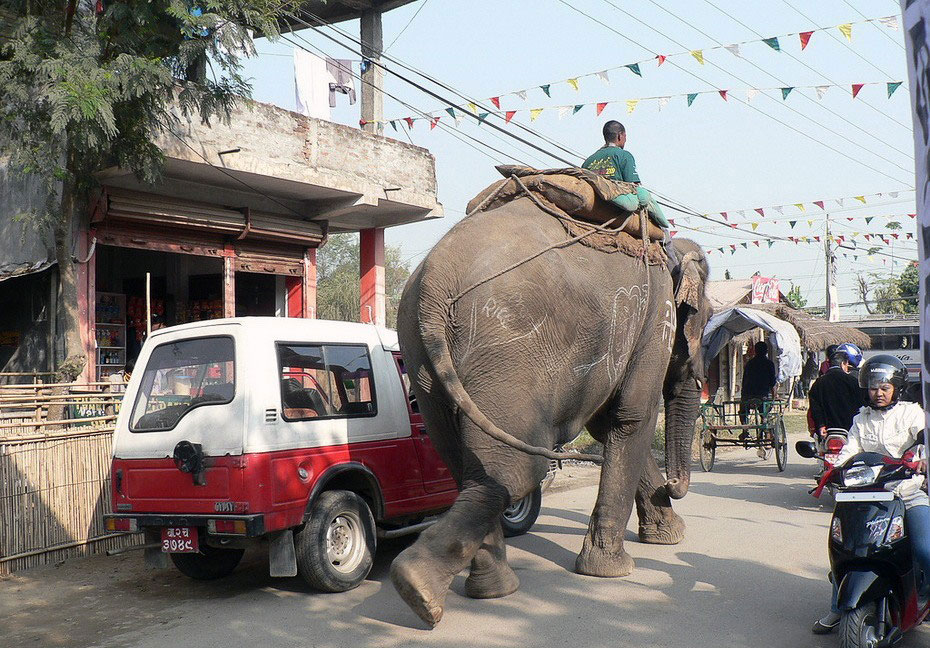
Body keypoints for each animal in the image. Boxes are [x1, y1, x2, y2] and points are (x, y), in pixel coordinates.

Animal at [390, 194, 712, 628]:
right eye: (705, 320)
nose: (674, 485)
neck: (671, 248)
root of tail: (433, 284)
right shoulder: (653, 316)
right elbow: (632, 418)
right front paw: (612, 570)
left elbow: (611, 424)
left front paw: (668, 536)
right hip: (509, 354)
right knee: (517, 471)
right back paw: (419, 589)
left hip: (424, 364)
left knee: (469, 466)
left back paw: (480, 590)